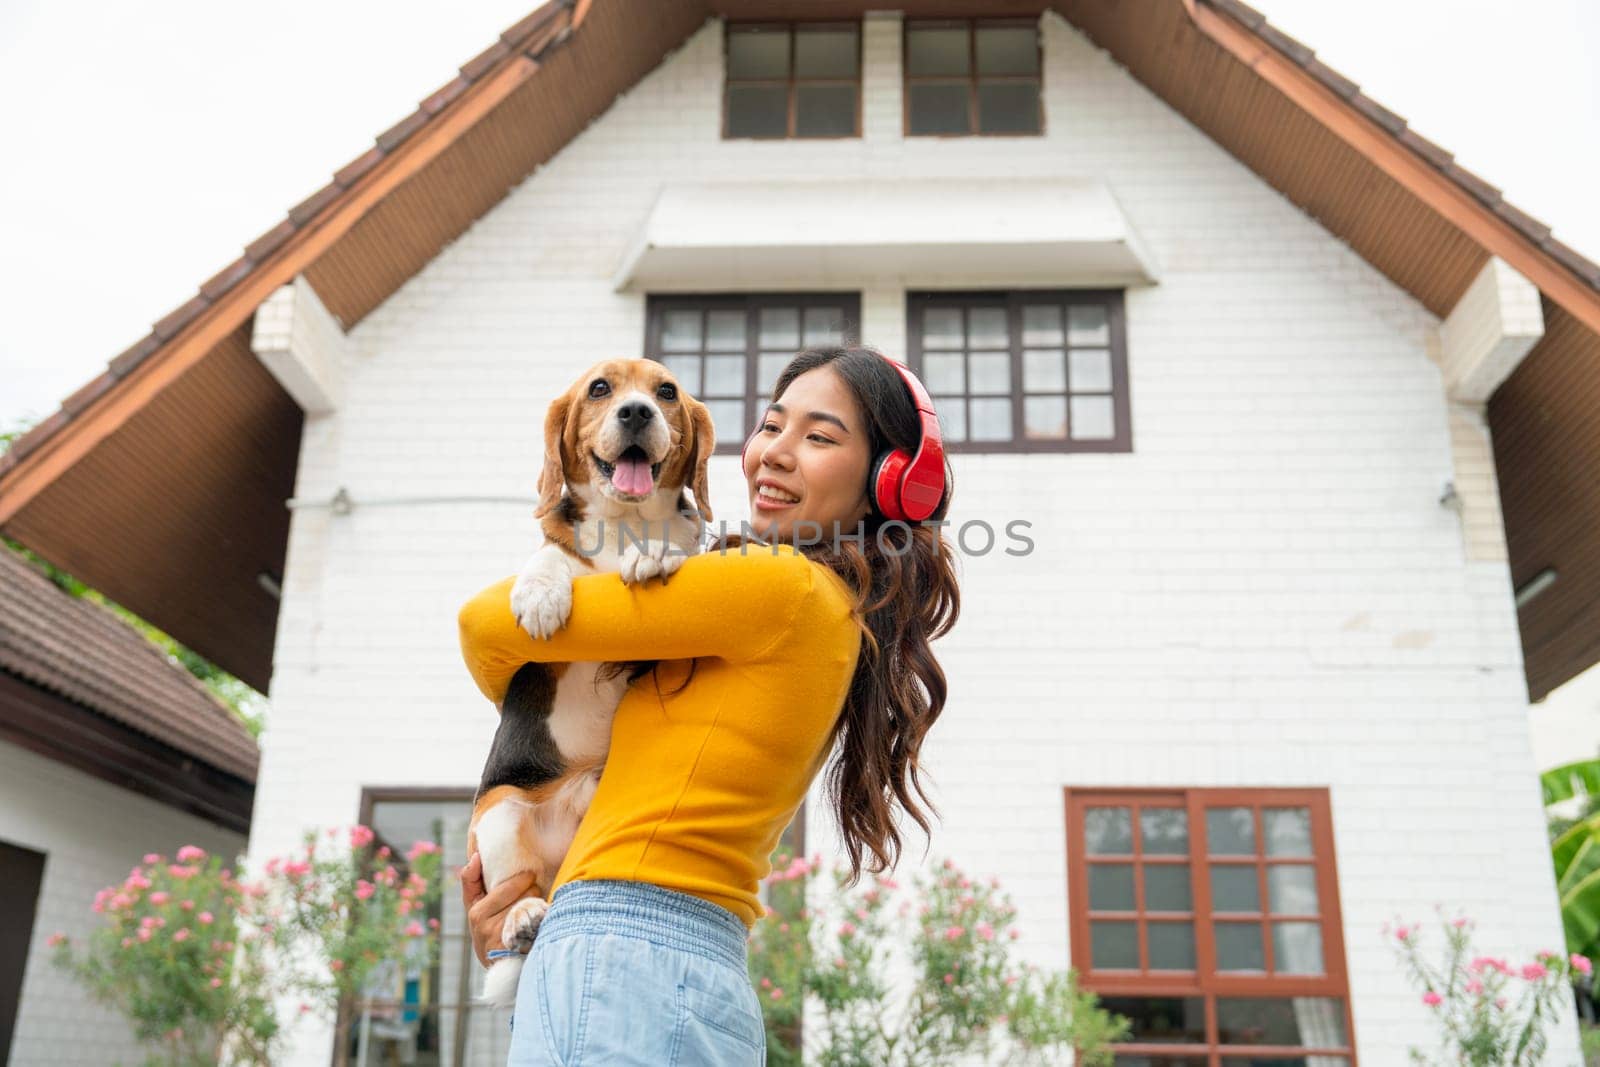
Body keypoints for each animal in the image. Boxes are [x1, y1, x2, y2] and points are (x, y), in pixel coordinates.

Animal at [464, 361, 713, 1011]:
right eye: (601, 388)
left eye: (666, 392)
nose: (637, 412)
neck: (624, 525)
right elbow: (552, 553)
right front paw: (540, 594)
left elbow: (677, 551)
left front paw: (656, 555)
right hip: (499, 810)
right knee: (521, 888)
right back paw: (522, 916)